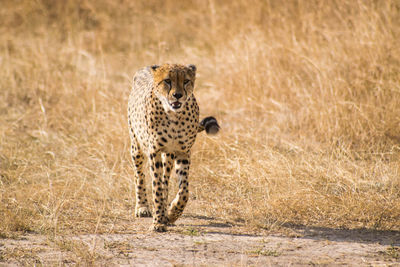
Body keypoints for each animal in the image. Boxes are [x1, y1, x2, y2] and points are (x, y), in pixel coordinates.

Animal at [127, 63, 219, 232]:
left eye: (186, 81)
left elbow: (184, 191)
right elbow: (156, 187)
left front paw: (171, 213)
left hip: (168, 155)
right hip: (136, 145)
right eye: (167, 81)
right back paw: (142, 207)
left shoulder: (183, 152)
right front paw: (158, 222)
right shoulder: (154, 151)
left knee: (165, 179)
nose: (177, 95)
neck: (174, 115)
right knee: (139, 175)